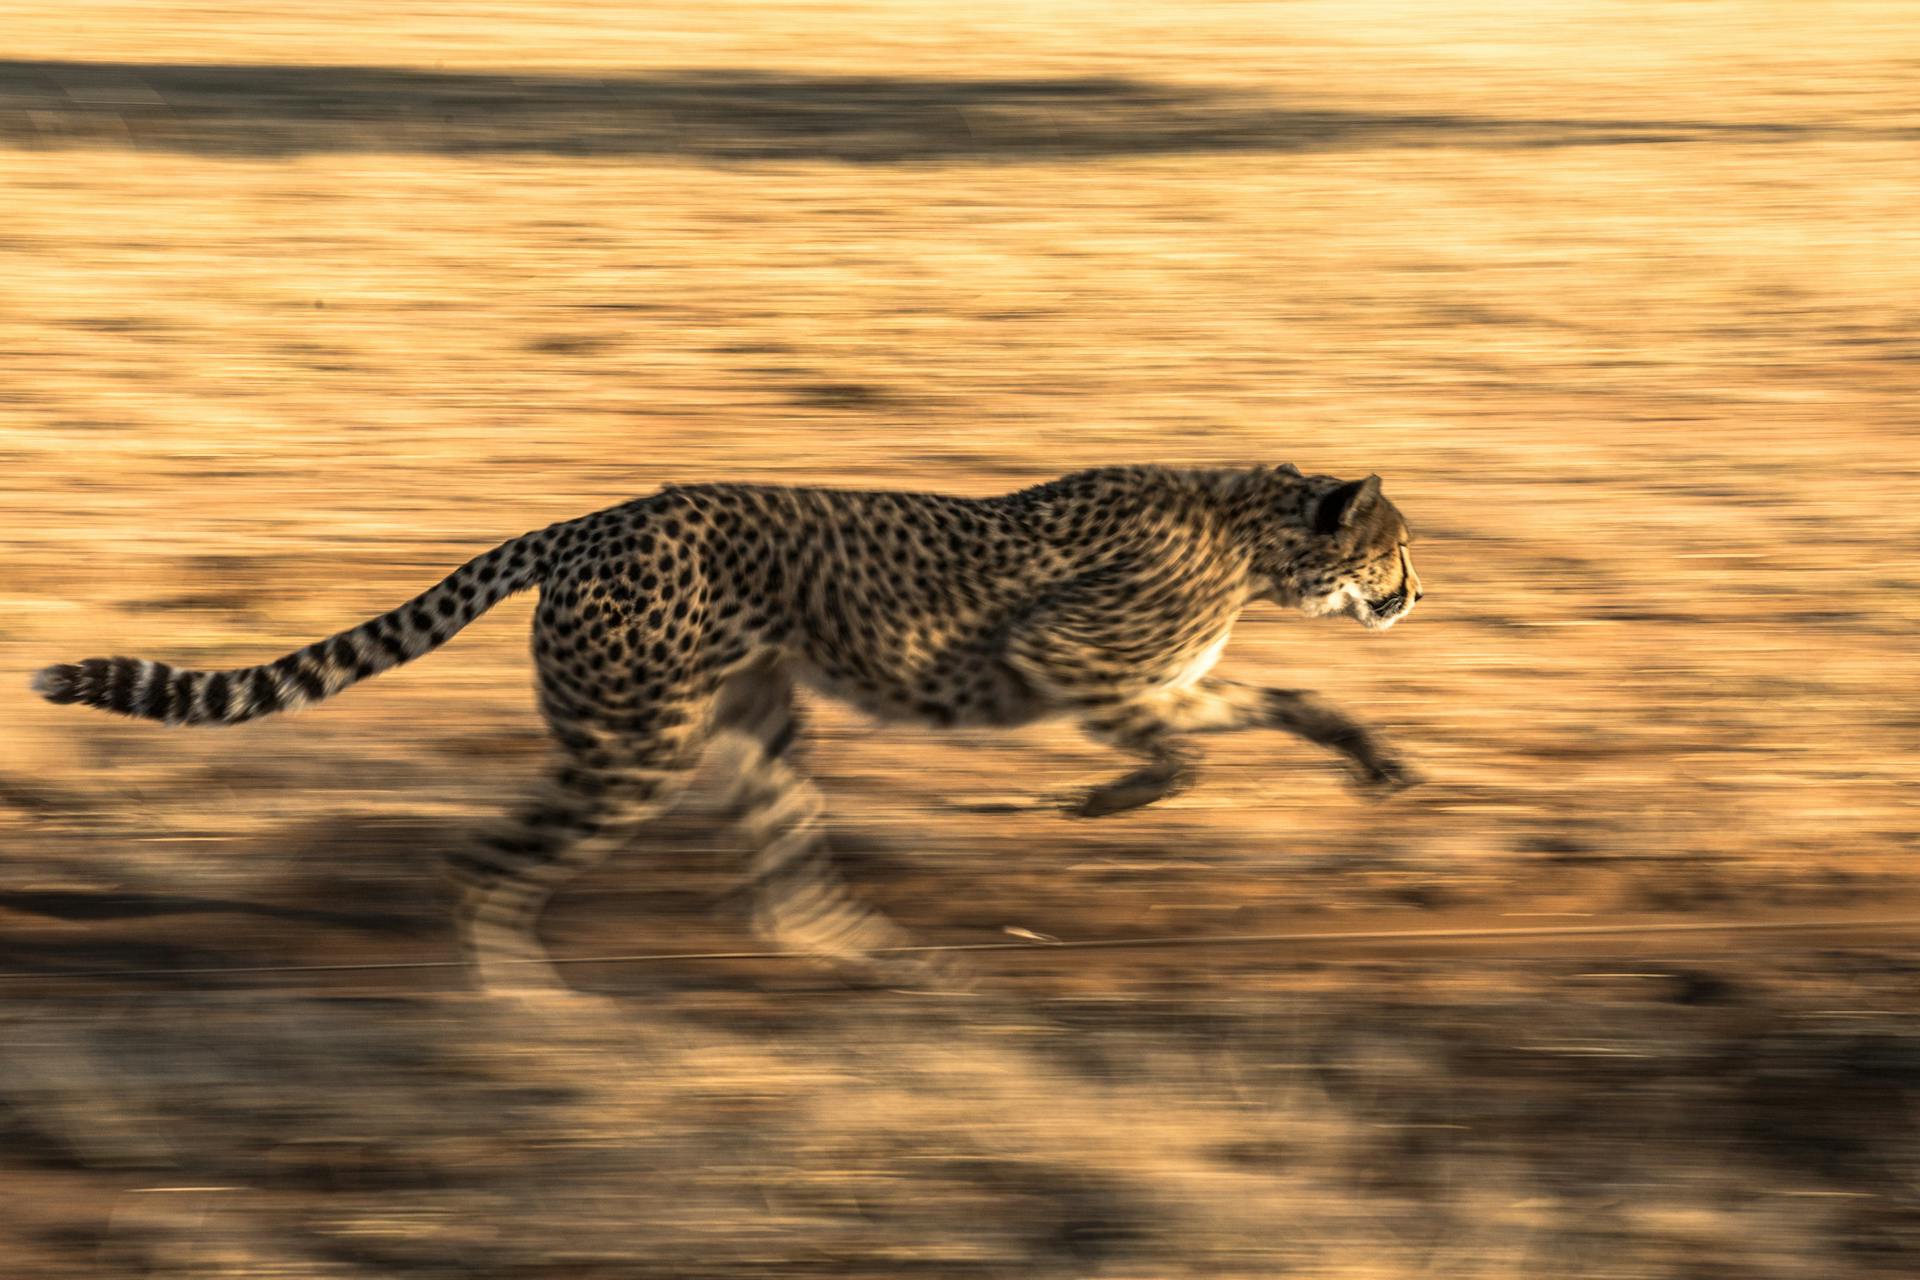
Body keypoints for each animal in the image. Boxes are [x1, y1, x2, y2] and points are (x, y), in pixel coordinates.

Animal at [26, 466, 1413, 997]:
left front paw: (1379, 761)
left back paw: (908, 971)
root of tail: (596, 517)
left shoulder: (1162, 676)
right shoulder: (1063, 659)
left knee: (784, 892)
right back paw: (531, 1015)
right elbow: (1181, 747)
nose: (1414, 598)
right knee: (481, 863)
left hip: (752, 726)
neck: (1253, 530)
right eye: (1394, 550)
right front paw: (1106, 799)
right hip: (638, 745)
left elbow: (1278, 707)